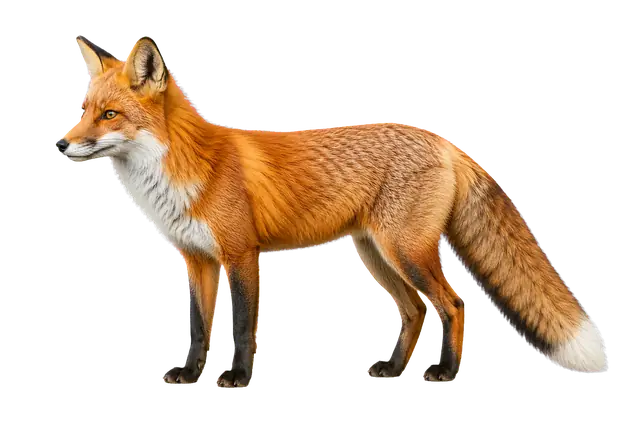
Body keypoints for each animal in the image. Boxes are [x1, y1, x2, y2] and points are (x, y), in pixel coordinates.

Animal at [58, 33, 608, 388]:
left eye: (110, 115)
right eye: (84, 110)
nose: (60, 143)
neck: (185, 171)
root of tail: (443, 140)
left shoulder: (241, 255)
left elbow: (242, 325)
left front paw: (235, 376)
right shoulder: (197, 260)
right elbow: (198, 326)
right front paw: (191, 374)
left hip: (405, 252)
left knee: (453, 304)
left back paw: (446, 372)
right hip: (376, 255)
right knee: (417, 310)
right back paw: (392, 371)